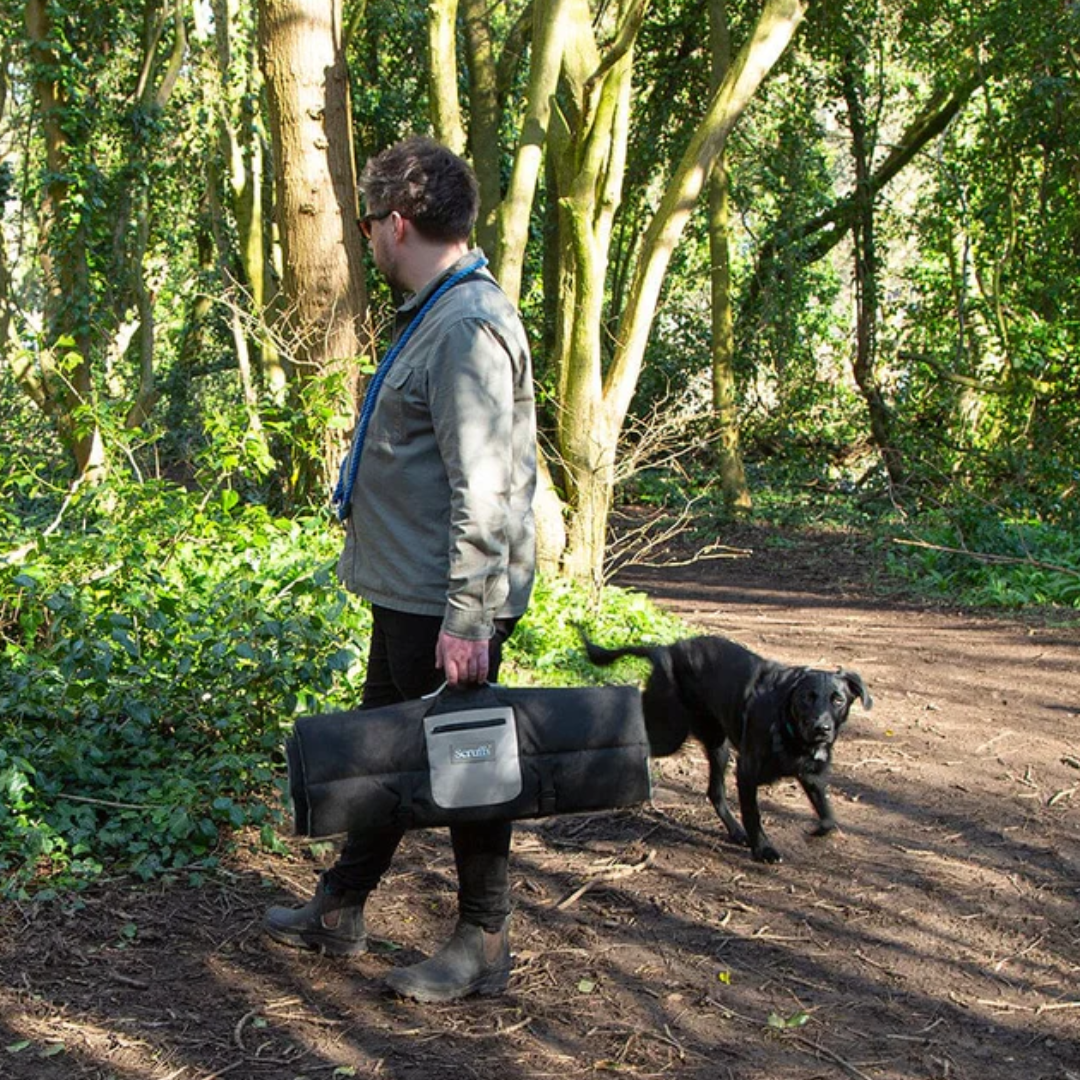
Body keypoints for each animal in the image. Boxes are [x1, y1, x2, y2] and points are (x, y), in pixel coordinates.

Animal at [583, 630, 868, 859]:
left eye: (838, 700)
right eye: (807, 698)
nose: (822, 729)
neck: (788, 727)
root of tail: (665, 650)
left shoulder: (811, 774)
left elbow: (828, 816)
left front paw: (816, 830)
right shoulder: (747, 771)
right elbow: (753, 814)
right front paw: (763, 849)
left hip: (718, 745)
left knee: (715, 791)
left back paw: (735, 831)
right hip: (671, 732)